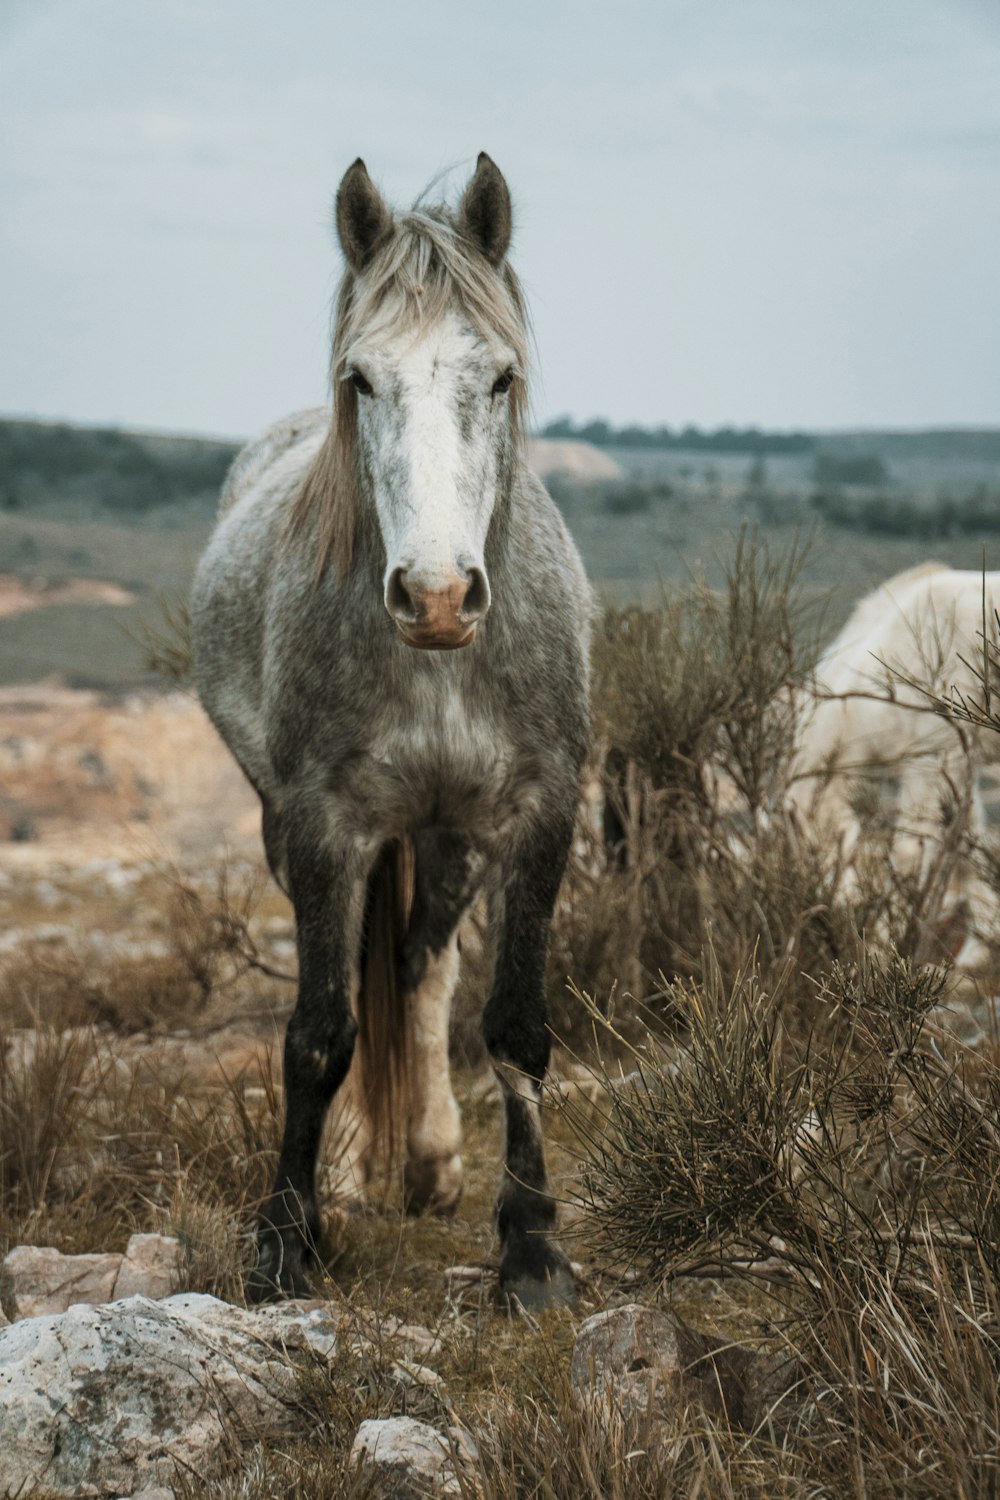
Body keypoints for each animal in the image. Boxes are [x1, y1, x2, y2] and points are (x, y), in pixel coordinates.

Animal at [191, 149, 590, 1302]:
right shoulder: (327, 825)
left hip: (449, 838)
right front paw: (287, 1240)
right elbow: (319, 1033)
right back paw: (349, 1175)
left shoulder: (538, 817)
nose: (439, 595)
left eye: (498, 378)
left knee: (418, 969)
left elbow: (515, 1025)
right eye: (360, 379)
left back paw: (429, 1158)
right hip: (291, 829)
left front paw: (530, 1249)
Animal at [791, 564, 1000, 960]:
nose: (830, 930)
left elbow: (911, 852)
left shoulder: (933, 757)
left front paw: (892, 945)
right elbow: (972, 848)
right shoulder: (953, 766)